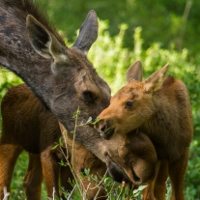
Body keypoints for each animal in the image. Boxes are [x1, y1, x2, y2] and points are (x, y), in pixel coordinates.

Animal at [96, 61, 193, 200]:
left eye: (129, 103)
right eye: (111, 100)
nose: (100, 124)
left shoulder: (181, 154)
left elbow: (176, 194)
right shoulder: (158, 160)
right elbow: (153, 194)